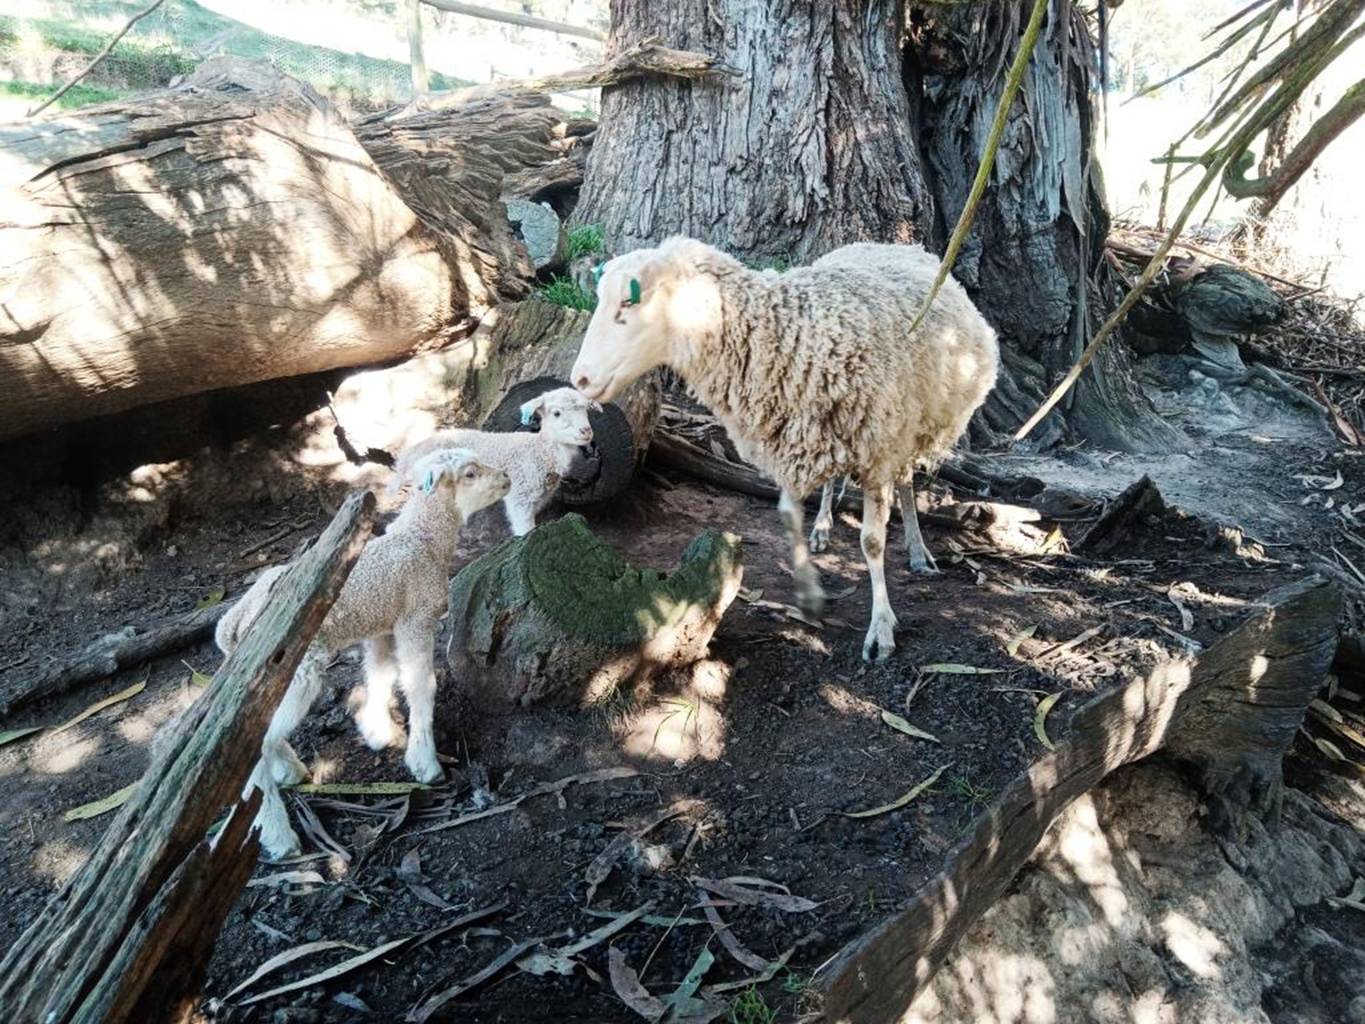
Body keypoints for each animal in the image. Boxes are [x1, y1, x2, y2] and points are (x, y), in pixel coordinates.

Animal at [217, 447, 510, 859]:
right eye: (469, 473)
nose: (506, 479)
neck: (423, 539)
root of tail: (233, 621)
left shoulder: (383, 627)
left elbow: (381, 673)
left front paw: (376, 730)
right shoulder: (416, 619)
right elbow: (421, 685)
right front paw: (424, 761)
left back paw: (288, 769)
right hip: (294, 669)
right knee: (254, 746)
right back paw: (278, 833)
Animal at [389, 387, 599, 536]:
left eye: (586, 410)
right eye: (556, 413)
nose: (586, 431)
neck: (540, 451)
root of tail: (410, 453)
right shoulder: (520, 495)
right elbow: (524, 529)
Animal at [570, 237, 998, 661]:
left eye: (630, 302)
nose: (580, 380)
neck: (790, 335)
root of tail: (891, 243)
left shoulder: (877, 449)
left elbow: (872, 542)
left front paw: (881, 627)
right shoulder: (792, 442)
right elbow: (789, 518)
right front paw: (809, 596)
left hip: (910, 425)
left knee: (907, 480)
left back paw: (917, 549)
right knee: (834, 482)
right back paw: (823, 526)